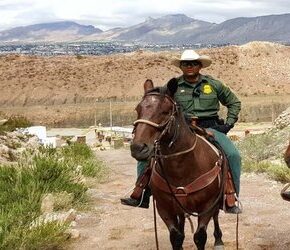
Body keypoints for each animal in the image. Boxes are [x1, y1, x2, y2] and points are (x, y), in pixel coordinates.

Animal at [130, 79, 228, 250]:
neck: (181, 169)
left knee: (216, 216)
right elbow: (176, 237)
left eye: (165, 111)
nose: (138, 148)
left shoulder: (207, 207)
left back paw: (218, 240)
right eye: (138, 109)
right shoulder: (164, 208)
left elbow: (200, 237)